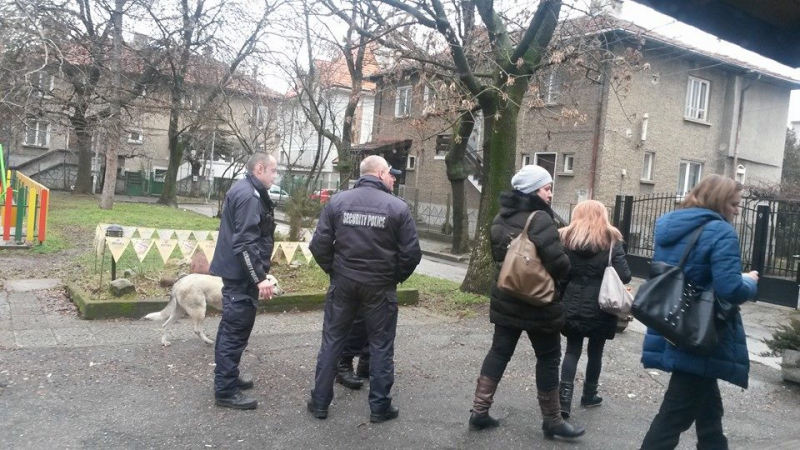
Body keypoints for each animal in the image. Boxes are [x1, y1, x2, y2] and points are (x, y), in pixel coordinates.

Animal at [145, 272, 282, 346]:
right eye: (275, 284)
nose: (283, 292)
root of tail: (178, 282)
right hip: (200, 311)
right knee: (197, 330)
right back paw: (208, 341)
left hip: (179, 311)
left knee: (165, 325)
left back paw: (164, 342)